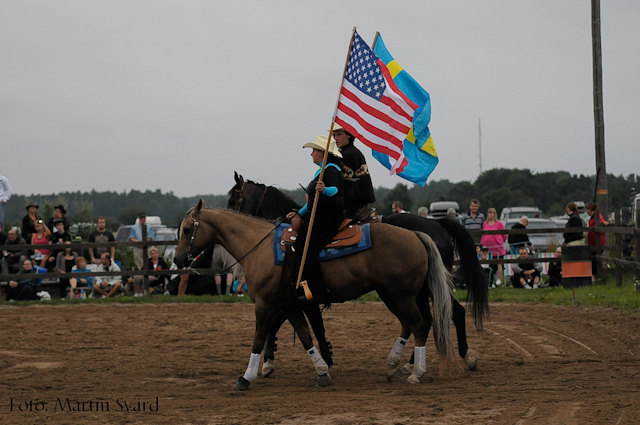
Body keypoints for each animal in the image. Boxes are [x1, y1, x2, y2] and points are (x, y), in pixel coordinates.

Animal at [174, 200, 456, 390]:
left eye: (187, 229)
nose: (177, 260)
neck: (260, 246)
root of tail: (417, 235)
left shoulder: (265, 304)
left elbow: (258, 339)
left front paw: (246, 377)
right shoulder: (288, 305)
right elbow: (305, 334)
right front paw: (321, 371)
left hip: (402, 295)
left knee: (420, 325)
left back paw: (416, 372)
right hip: (394, 294)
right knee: (410, 323)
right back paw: (395, 363)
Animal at [228, 171, 488, 372]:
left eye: (233, 199)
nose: (228, 214)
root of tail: (436, 224)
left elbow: (280, 322)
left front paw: (269, 360)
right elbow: (304, 324)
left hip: (420, 288)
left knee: (444, 315)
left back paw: (455, 359)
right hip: (414, 290)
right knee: (436, 317)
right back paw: (419, 362)